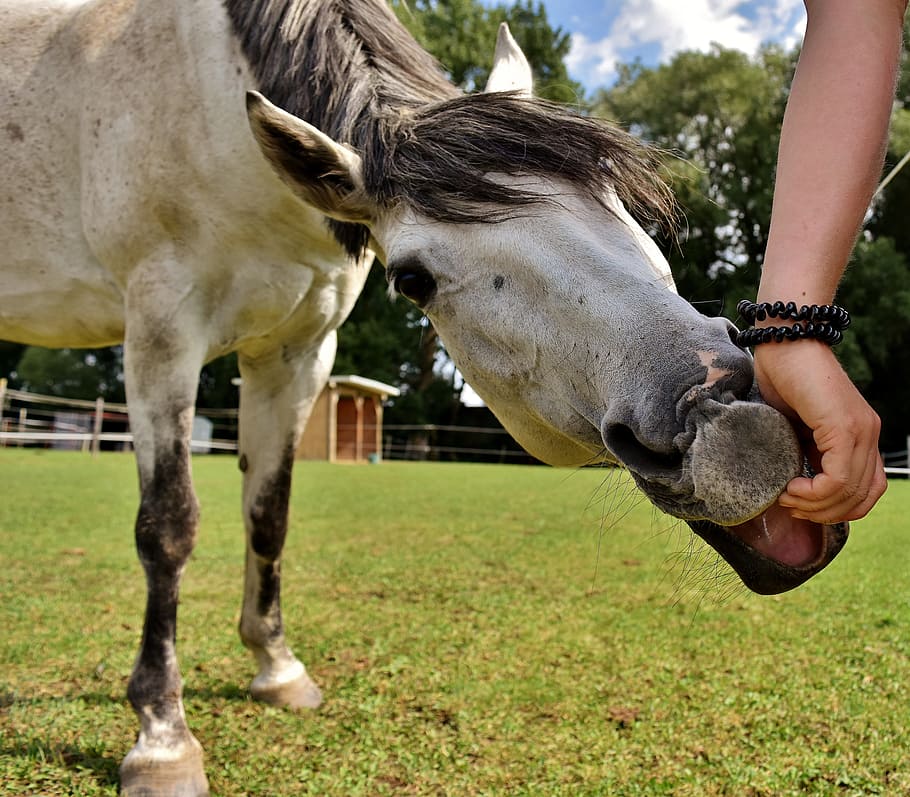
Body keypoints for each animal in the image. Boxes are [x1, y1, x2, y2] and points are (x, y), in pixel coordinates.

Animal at [0, 1, 847, 794]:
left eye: (616, 202)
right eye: (412, 279)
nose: (726, 418)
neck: (207, 111)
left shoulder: (297, 349)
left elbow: (268, 514)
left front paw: (277, 668)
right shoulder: (161, 331)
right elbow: (168, 527)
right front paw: (162, 738)